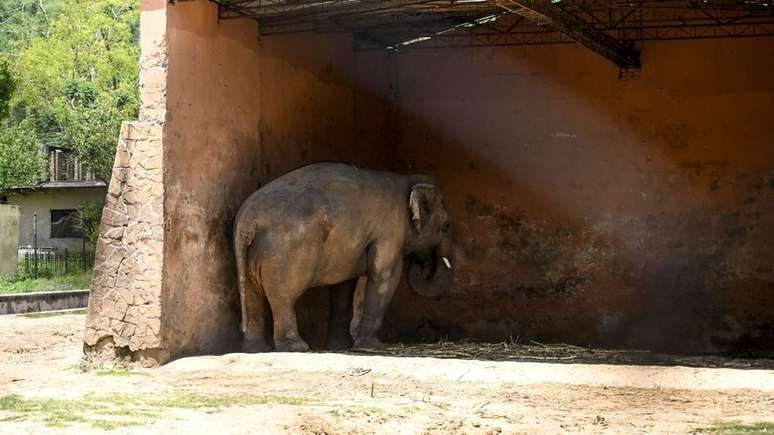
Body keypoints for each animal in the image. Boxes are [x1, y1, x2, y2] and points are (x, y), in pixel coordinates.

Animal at [233, 162, 458, 352]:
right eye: (446, 226)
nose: (421, 266)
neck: (407, 180)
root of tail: (247, 222)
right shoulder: (389, 231)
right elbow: (384, 275)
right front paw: (371, 348)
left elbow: (343, 285)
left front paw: (341, 346)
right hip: (284, 254)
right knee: (284, 296)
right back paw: (296, 347)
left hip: (250, 255)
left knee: (252, 294)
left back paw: (256, 350)